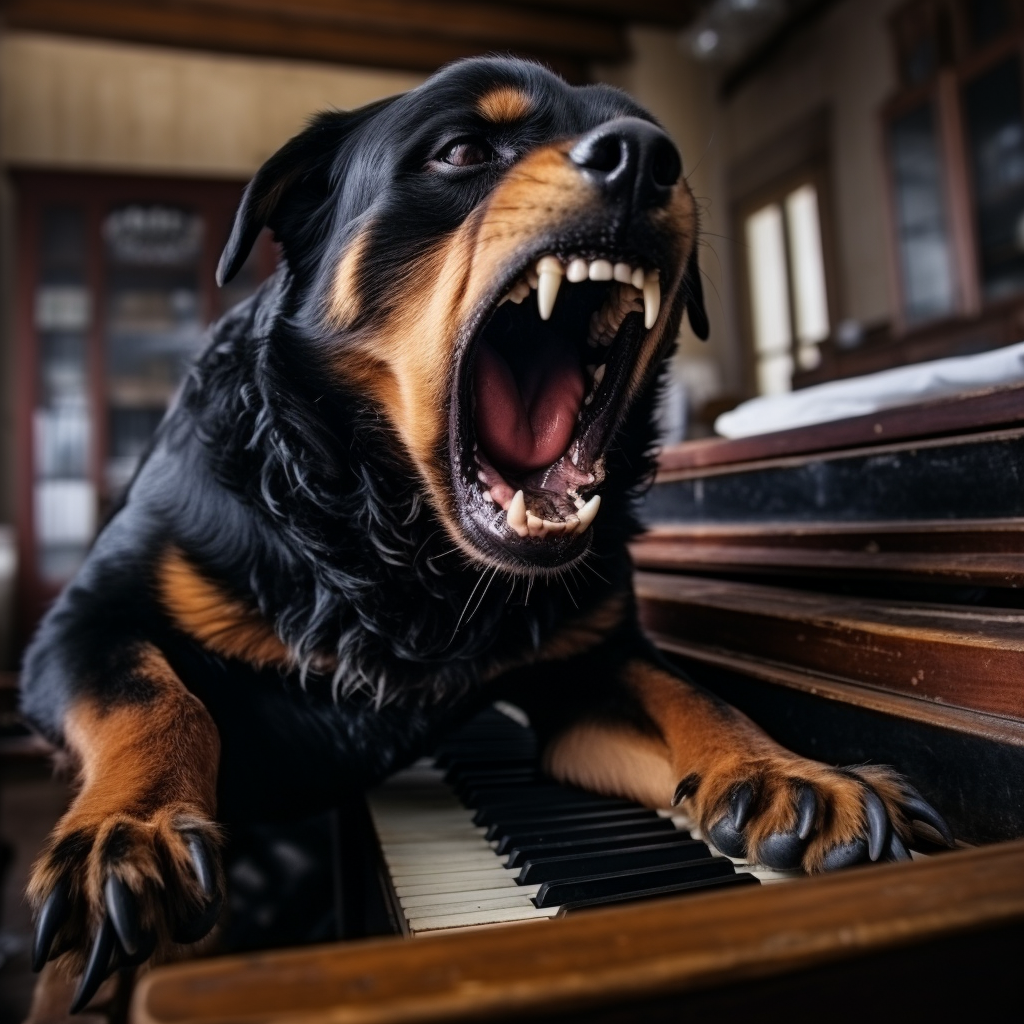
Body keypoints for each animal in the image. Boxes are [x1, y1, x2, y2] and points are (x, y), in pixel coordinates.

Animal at [22, 56, 950, 1007]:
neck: (384, 537)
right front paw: (132, 829)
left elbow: (691, 694)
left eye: (666, 149)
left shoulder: (588, 663)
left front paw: (790, 774)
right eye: (463, 150)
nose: (644, 157)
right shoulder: (78, 628)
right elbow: (157, 696)